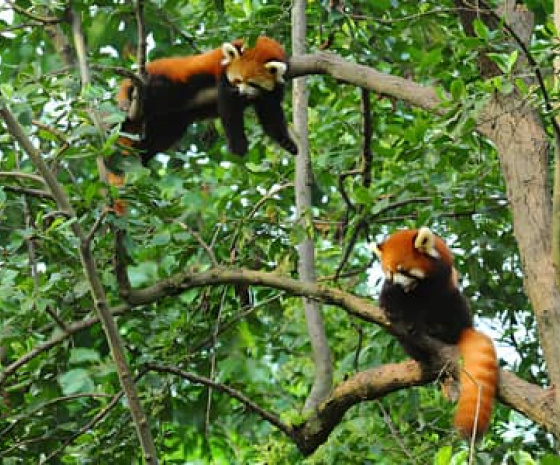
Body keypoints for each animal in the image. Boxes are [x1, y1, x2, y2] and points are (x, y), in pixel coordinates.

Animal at [372, 227, 498, 438]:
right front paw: (391, 308)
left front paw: (416, 323)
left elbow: (427, 304)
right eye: (389, 272)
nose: (398, 285)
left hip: (457, 308)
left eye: (403, 270)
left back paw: (440, 331)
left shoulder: (441, 281)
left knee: (455, 307)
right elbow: (390, 297)